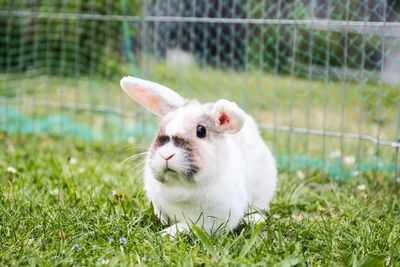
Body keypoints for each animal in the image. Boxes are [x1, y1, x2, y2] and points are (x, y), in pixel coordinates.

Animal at [119, 76, 276, 237]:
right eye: (160, 127)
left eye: (201, 130)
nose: (166, 155)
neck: (180, 185)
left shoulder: (212, 221)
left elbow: (188, 226)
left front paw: (166, 234)